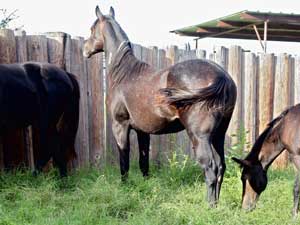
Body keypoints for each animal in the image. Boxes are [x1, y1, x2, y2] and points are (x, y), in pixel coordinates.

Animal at [83, 5, 236, 206]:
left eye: (92, 29)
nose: (85, 50)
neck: (124, 73)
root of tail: (221, 76)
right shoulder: (143, 131)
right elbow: (143, 161)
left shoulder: (120, 126)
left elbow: (124, 160)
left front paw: (124, 187)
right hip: (218, 135)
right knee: (220, 167)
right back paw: (217, 205)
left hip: (200, 137)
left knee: (211, 168)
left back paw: (209, 206)